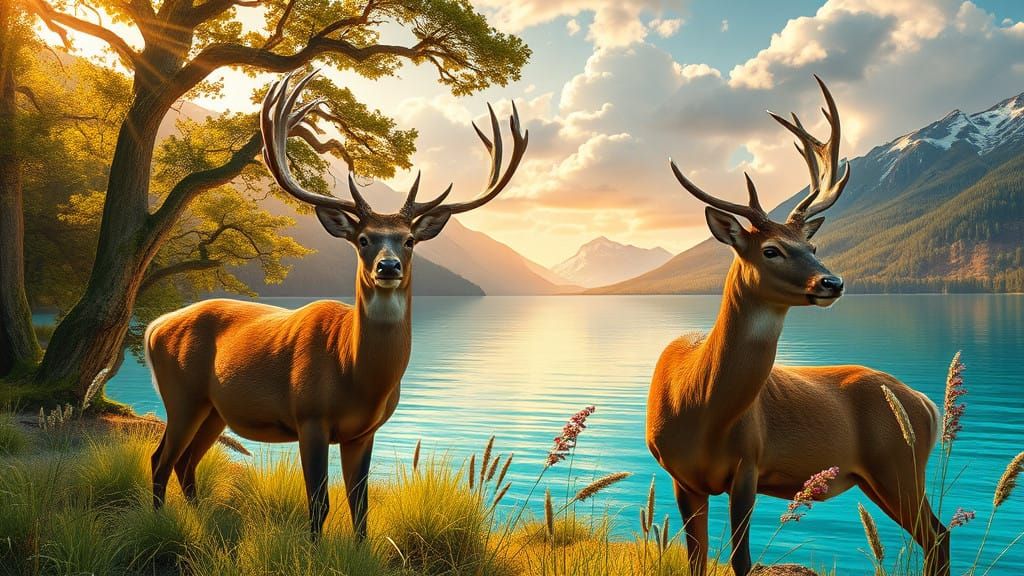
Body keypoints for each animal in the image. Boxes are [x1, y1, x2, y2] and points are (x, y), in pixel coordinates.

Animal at [145, 70, 528, 538]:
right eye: (363, 239)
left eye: (409, 240)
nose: (388, 266)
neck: (355, 373)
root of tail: (155, 326)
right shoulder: (310, 417)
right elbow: (319, 503)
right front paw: (312, 548)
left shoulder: (363, 431)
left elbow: (359, 505)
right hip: (181, 395)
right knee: (160, 459)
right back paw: (159, 524)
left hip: (215, 410)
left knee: (184, 462)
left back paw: (201, 523)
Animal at [645, 76, 949, 576]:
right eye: (771, 249)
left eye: (812, 246)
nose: (833, 281)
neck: (698, 405)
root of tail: (925, 404)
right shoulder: (680, 476)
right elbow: (696, 561)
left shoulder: (749, 463)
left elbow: (742, 561)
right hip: (882, 476)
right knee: (935, 537)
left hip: (900, 465)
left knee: (938, 535)